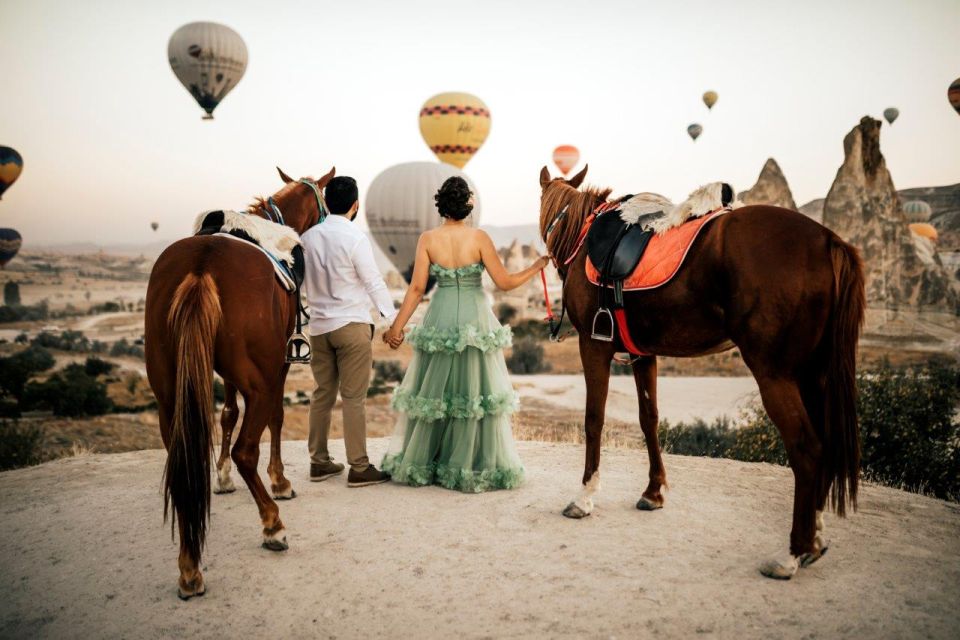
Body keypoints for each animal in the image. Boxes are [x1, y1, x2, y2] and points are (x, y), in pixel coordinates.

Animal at [144, 168, 336, 596]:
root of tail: (202, 266)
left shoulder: (223, 370)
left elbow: (228, 412)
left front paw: (221, 475)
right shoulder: (276, 367)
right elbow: (276, 418)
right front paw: (279, 480)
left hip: (168, 390)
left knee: (181, 460)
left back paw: (189, 567)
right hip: (259, 380)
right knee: (248, 449)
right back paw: (272, 524)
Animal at [536, 165, 868, 580]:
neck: (585, 235)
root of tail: (828, 240)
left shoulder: (594, 346)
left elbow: (593, 419)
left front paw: (584, 497)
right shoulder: (643, 354)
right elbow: (649, 419)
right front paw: (654, 492)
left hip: (776, 373)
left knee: (807, 449)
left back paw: (792, 553)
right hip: (812, 373)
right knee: (822, 444)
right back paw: (815, 537)